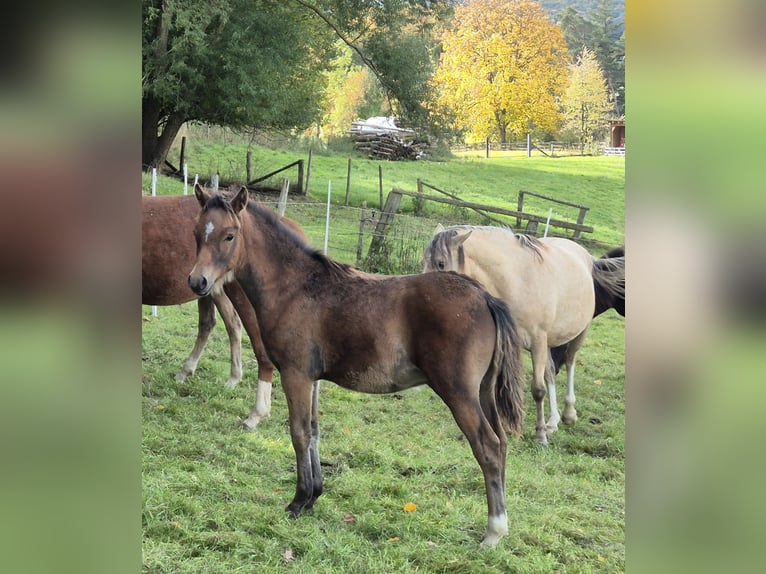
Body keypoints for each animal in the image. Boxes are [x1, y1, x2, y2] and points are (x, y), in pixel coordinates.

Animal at [146, 196, 308, 430]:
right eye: (195, 234)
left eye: (229, 237)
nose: (195, 280)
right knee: (227, 325)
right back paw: (228, 379)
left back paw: (256, 413)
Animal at [189, 186, 532, 548]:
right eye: (197, 233)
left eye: (229, 235)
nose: (197, 282)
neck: (295, 285)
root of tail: (485, 297)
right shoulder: (313, 378)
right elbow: (314, 431)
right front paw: (314, 496)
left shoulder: (296, 374)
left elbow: (299, 433)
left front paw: (298, 501)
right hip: (483, 391)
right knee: (502, 442)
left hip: (458, 391)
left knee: (488, 446)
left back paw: (494, 531)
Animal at [424, 225, 628, 446]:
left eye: (441, 263)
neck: (519, 281)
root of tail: (587, 257)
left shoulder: (538, 342)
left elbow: (538, 390)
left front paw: (540, 436)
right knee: (550, 372)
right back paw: (553, 421)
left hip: (578, 334)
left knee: (570, 362)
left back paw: (568, 414)